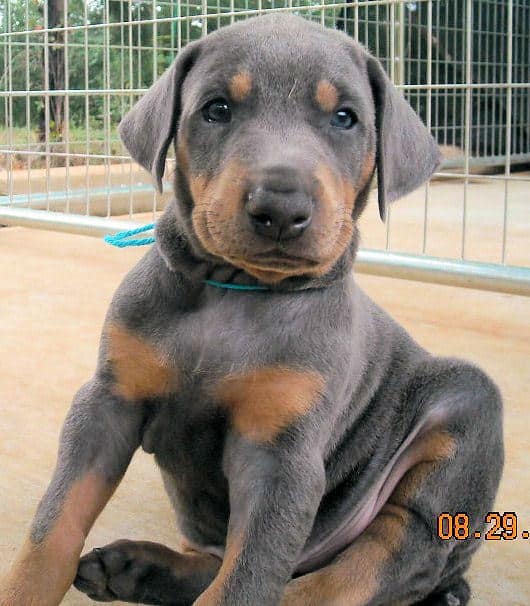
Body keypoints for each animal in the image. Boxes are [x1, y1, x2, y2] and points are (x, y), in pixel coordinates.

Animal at [0, 14, 502, 606]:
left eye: (345, 118)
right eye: (216, 109)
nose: (281, 208)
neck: (236, 291)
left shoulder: (279, 454)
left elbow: (244, 581)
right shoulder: (108, 400)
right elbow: (52, 525)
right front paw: (25, 587)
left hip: (466, 408)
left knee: (378, 555)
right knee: (220, 561)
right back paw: (134, 568)